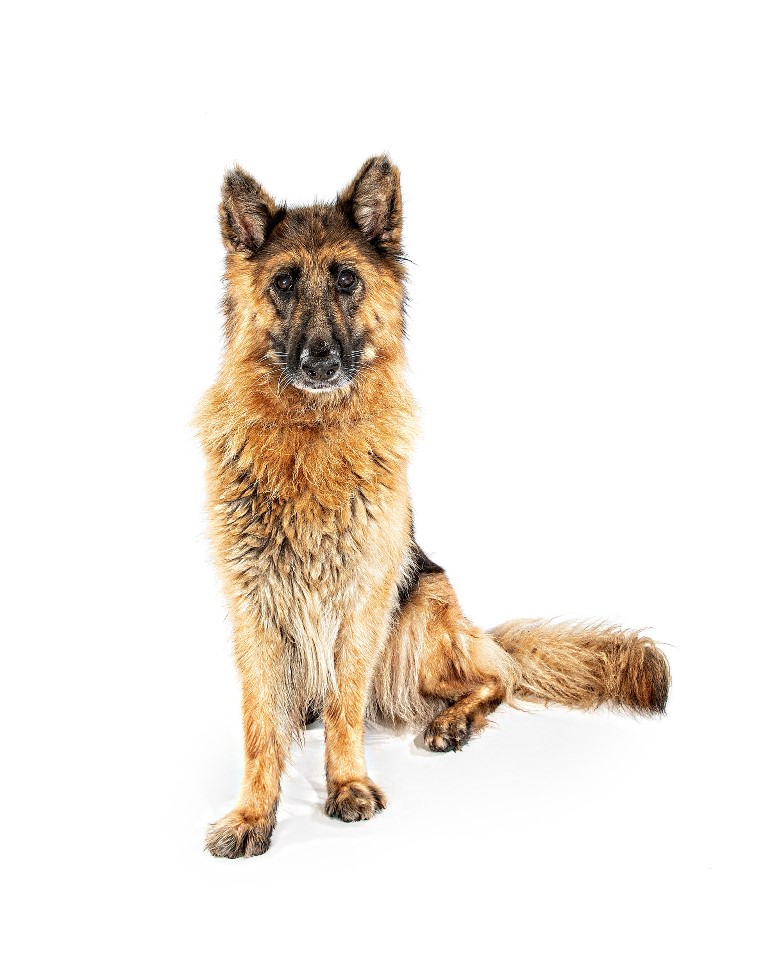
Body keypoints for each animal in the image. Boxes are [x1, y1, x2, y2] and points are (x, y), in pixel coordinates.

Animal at [197, 155, 670, 858]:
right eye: (284, 283)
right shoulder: (254, 607)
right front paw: (254, 814)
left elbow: (346, 710)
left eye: (346, 279)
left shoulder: (363, 604)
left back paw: (453, 722)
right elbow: (260, 728)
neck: (310, 437)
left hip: (419, 621)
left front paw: (348, 785)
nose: (320, 361)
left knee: (496, 677)